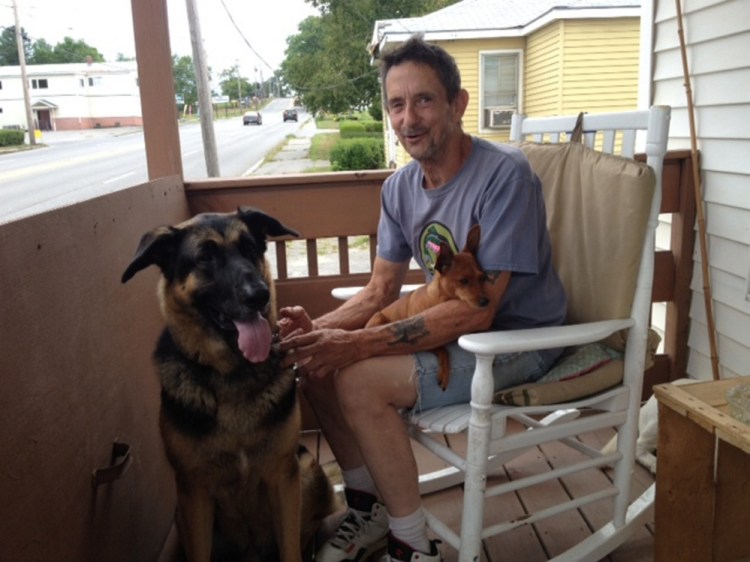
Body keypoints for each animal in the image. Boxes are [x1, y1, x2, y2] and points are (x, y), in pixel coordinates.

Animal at [122, 207, 334, 560]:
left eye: (250, 248)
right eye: (205, 257)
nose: (260, 295)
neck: (233, 373)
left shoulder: (282, 479)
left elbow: (290, 548)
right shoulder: (194, 494)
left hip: (305, 472)